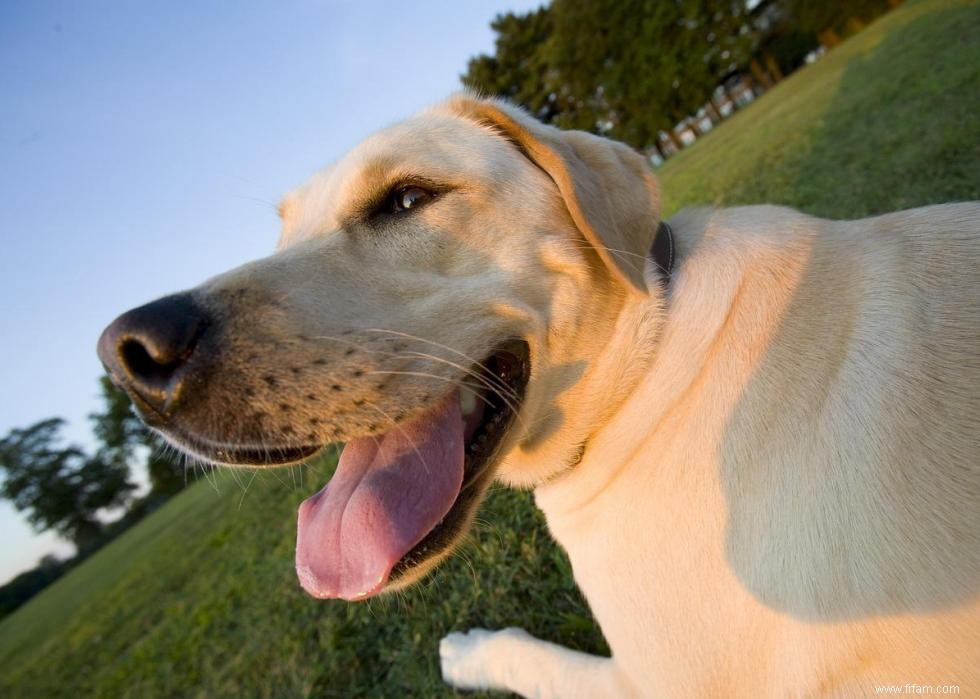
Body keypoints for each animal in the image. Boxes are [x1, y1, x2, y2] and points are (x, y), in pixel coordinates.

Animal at [99, 95, 980, 696]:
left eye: (408, 199)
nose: (128, 354)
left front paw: (471, 648)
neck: (642, 369)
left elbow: (544, 658)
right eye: (283, 235)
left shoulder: (651, 679)